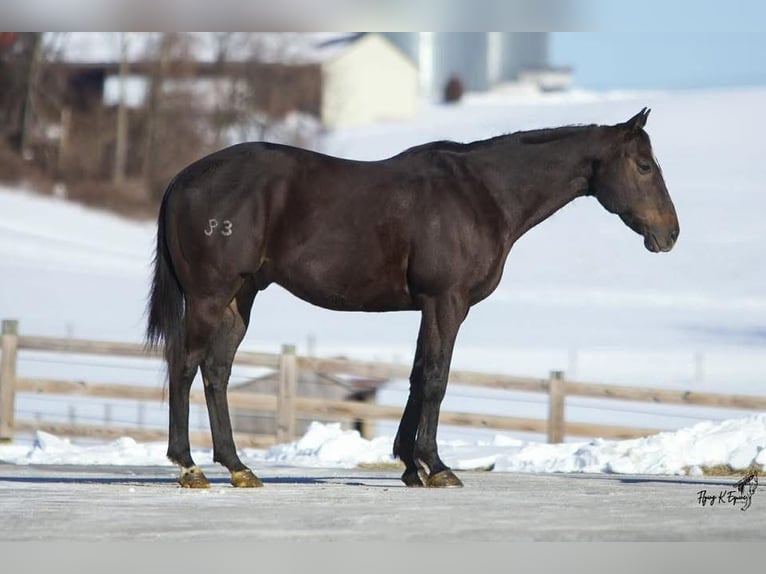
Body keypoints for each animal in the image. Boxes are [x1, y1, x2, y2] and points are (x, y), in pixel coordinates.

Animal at [147, 108, 679, 489]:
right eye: (644, 165)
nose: (670, 234)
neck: (482, 194)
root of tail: (183, 178)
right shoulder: (447, 302)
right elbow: (436, 379)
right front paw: (436, 466)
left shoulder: (431, 306)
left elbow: (417, 376)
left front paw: (409, 465)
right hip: (210, 295)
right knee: (185, 365)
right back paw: (188, 466)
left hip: (240, 297)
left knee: (216, 372)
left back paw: (238, 467)